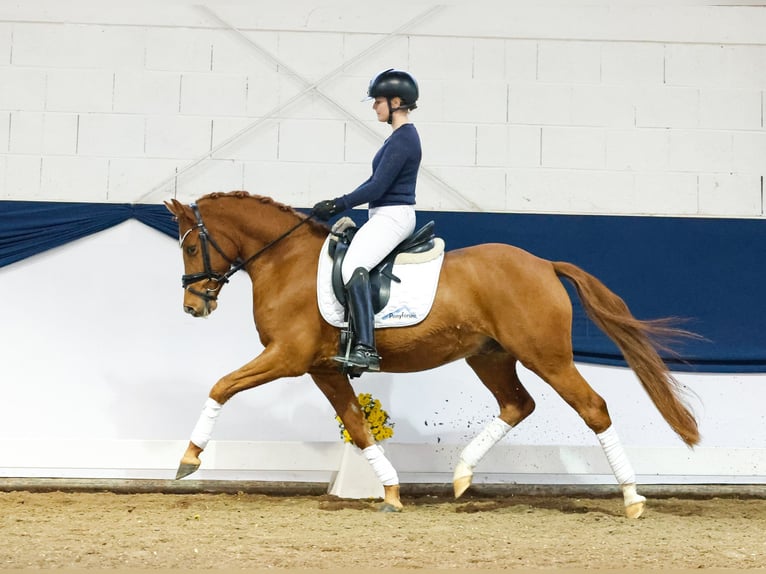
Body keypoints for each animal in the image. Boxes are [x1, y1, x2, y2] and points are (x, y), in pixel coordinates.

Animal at [165, 191, 700, 520]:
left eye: (190, 247)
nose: (193, 306)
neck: (286, 261)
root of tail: (545, 264)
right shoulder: (322, 369)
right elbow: (357, 425)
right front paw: (391, 492)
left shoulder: (288, 358)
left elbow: (221, 385)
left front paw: (189, 459)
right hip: (489, 356)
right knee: (517, 404)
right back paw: (461, 475)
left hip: (546, 356)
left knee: (593, 408)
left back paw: (632, 499)